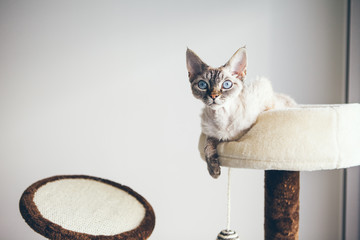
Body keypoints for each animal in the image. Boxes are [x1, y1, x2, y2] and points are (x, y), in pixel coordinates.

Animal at [186, 47, 296, 178]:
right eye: (202, 85)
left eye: (226, 84)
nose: (213, 96)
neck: (221, 116)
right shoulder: (211, 133)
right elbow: (208, 145)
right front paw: (214, 170)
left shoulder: (262, 92)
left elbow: (239, 133)